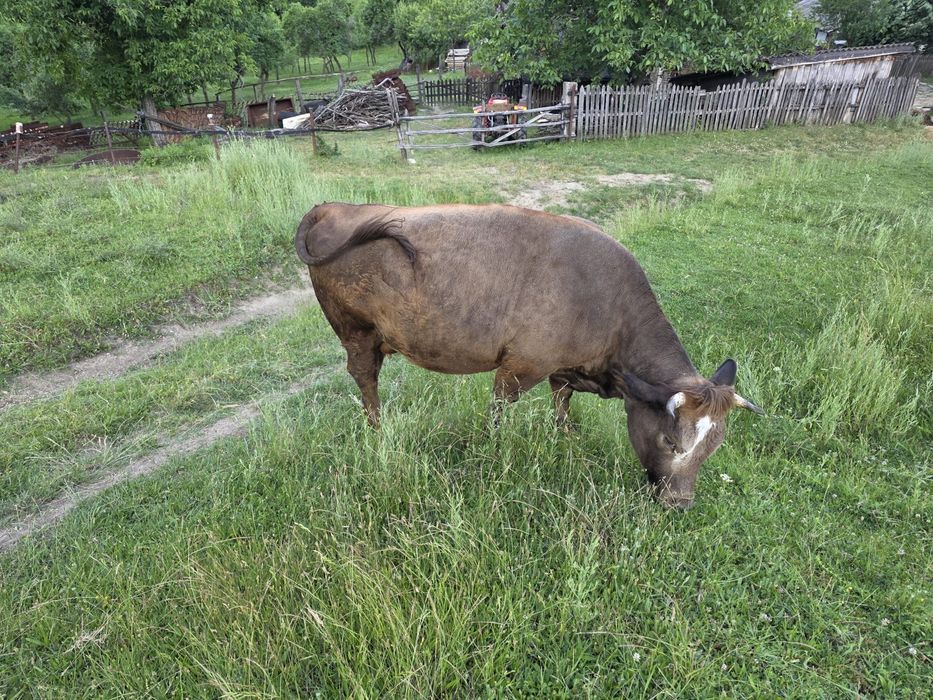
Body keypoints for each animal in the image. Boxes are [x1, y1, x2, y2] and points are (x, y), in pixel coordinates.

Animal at [295, 203, 763, 509]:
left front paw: (565, 438)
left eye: (714, 448)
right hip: (356, 334)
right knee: (365, 380)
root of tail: (333, 207)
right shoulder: (521, 366)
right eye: (670, 440)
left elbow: (561, 405)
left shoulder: (562, 369)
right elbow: (499, 410)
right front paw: (493, 450)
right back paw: (377, 430)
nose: (679, 503)